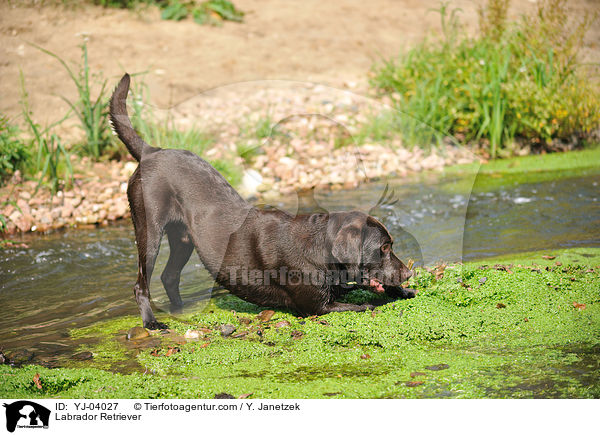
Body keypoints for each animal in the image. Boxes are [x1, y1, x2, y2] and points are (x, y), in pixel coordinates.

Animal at [109, 74, 412, 330]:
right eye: (384, 247)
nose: (409, 274)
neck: (320, 248)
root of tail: (151, 151)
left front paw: (404, 291)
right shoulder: (317, 307)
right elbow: (365, 304)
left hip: (183, 239)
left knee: (169, 276)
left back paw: (181, 311)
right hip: (149, 230)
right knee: (141, 284)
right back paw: (152, 323)